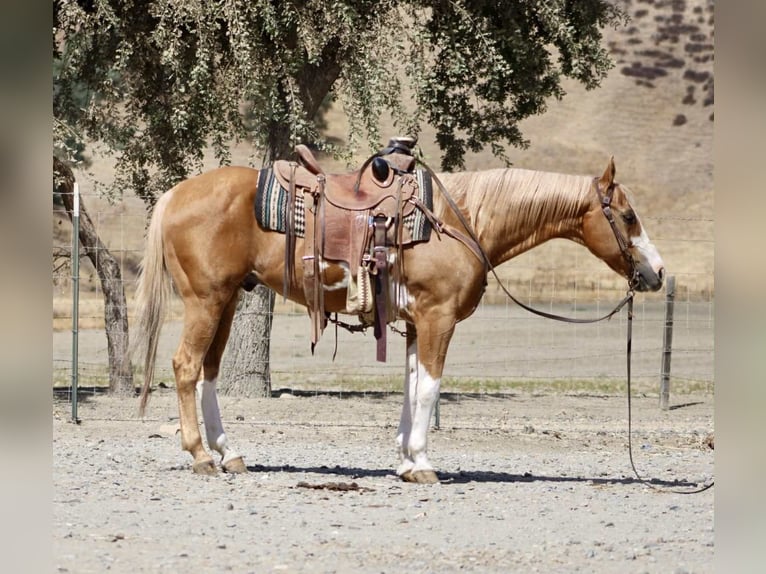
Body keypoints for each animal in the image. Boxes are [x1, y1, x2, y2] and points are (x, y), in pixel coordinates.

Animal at [133, 155, 665, 483]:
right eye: (629, 216)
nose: (657, 273)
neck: (460, 219)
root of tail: (176, 193)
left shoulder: (414, 322)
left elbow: (411, 387)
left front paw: (406, 462)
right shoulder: (437, 318)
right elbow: (429, 387)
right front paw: (424, 464)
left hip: (224, 301)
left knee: (208, 371)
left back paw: (230, 453)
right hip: (205, 300)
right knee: (186, 366)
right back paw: (201, 455)